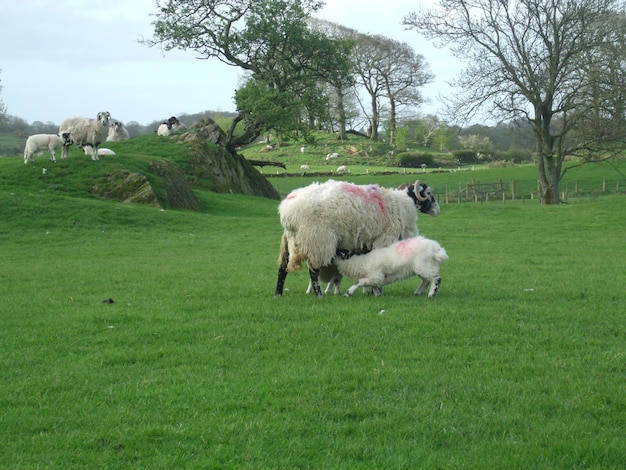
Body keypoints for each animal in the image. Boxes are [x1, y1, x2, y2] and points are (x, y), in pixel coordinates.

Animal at [272, 178, 438, 296]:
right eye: (428, 193)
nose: (438, 211)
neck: (403, 203)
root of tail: (287, 210)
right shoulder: (384, 240)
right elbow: (379, 262)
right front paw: (376, 291)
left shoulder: (367, 244)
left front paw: (367, 291)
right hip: (317, 239)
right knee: (313, 270)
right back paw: (318, 294)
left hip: (290, 239)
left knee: (283, 267)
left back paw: (278, 294)